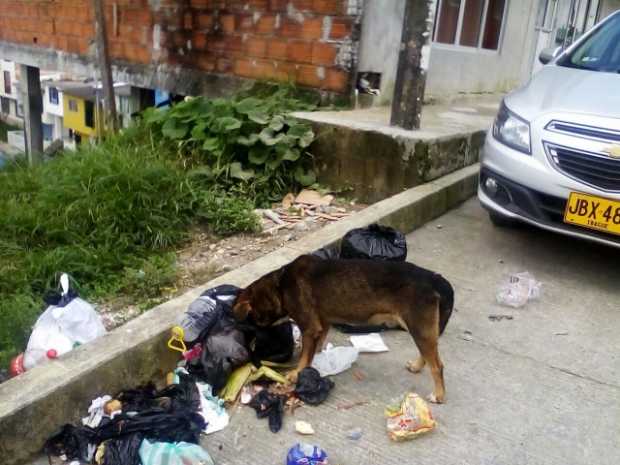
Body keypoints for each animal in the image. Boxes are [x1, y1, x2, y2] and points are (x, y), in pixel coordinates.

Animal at [232, 254, 456, 402]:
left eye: (255, 319)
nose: (254, 342)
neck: (280, 286)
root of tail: (435, 278)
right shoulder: (323, 323)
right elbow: (316, 346)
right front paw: (318, 359)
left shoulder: (310, 327)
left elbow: (305, 355)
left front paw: (297, 373)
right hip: (422, 329)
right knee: (427, 356)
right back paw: (417, 366)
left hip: (419, 328)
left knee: (437, 365)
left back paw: (439, 395)